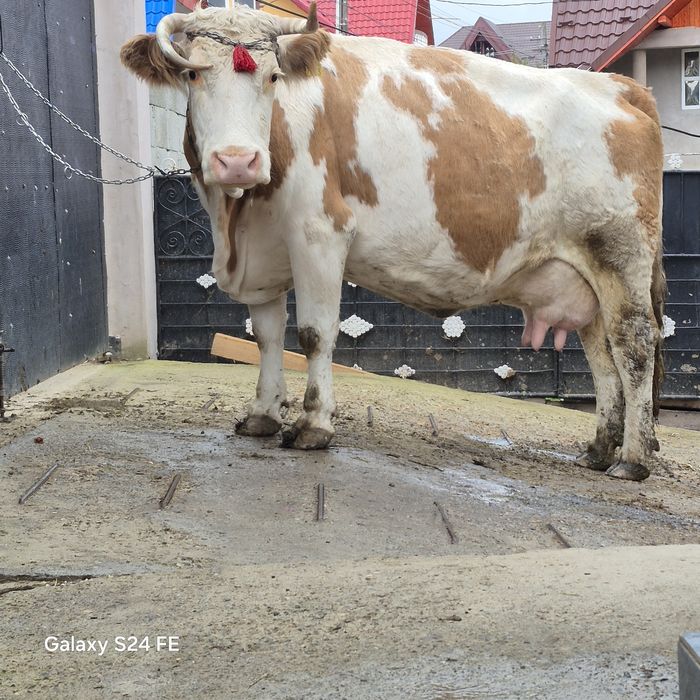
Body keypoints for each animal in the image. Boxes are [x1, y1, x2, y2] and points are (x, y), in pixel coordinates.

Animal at [121, 2, 666, 481]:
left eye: (272, 78)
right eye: (193, 76)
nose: (238, 161)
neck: (236, 219)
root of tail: (620, 86)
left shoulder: (319, 233)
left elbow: (314, 334)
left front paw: (313, 425)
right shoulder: (264, 254)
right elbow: (267, 337)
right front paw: (262, 415)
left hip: (621, 255)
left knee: (635, 345)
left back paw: (633, 459)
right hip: (583, 276)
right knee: (600, 353)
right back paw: (598, 449)